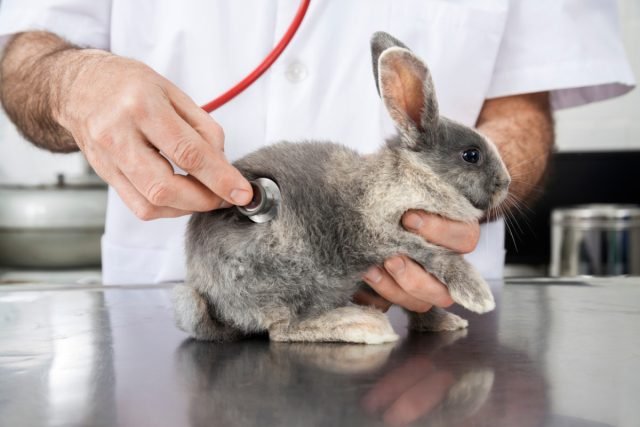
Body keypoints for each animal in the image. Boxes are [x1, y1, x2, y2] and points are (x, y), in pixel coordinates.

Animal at [171, 30, 510, 344]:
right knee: (282, 329)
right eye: (471, 155)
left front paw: (445, 322)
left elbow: (418, 305)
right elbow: (437, 256)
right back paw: (363, 325)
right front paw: (478, 295)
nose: (505, 183)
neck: (413, 176)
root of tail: (215, 302)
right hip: (289, 271)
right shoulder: (383, 237)